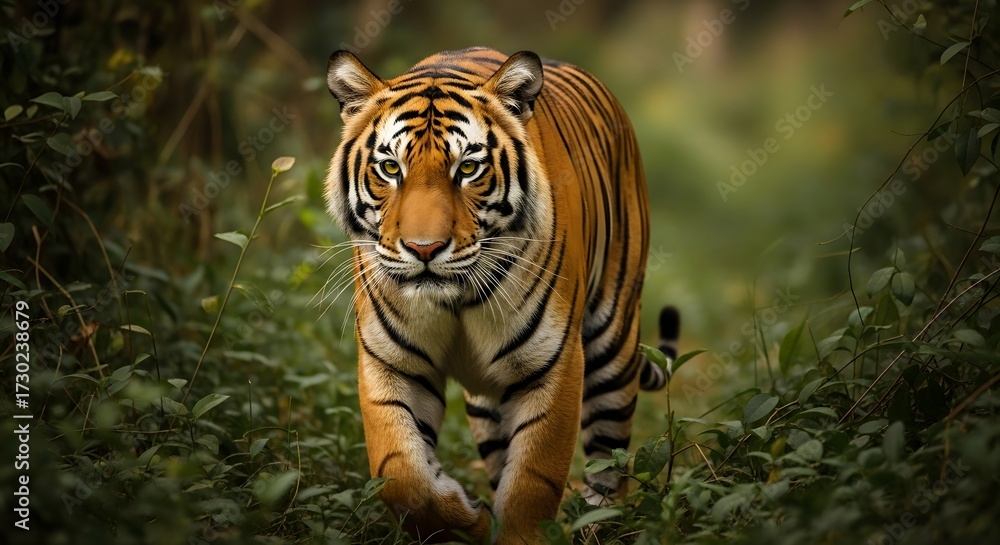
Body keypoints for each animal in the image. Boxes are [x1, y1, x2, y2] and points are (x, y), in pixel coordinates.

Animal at [324, 47, 679, 544]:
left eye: (468, 169)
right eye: (391, 168)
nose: (424, 249)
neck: (453, 300)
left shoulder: (552, 362)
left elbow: (532, 480)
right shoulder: (391, 361)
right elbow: (401, 473)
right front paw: (469, 517)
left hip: (614, 341)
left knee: (610, 462)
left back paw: (596, 522)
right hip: (488, 400)